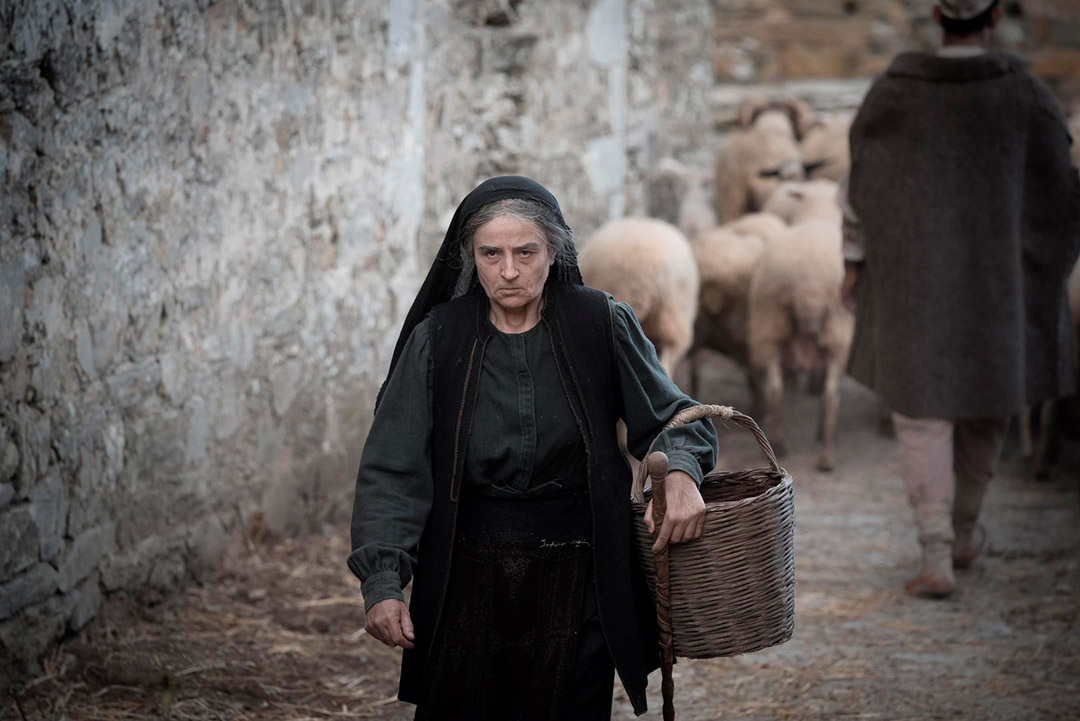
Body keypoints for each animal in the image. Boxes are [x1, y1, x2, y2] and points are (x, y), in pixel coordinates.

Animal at [747, 216, 855, 470]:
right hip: (838, 332)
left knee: (775, 389)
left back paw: (781, 444)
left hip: (771, 325)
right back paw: (825, 456)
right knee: (831, 396)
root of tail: (808, 287)